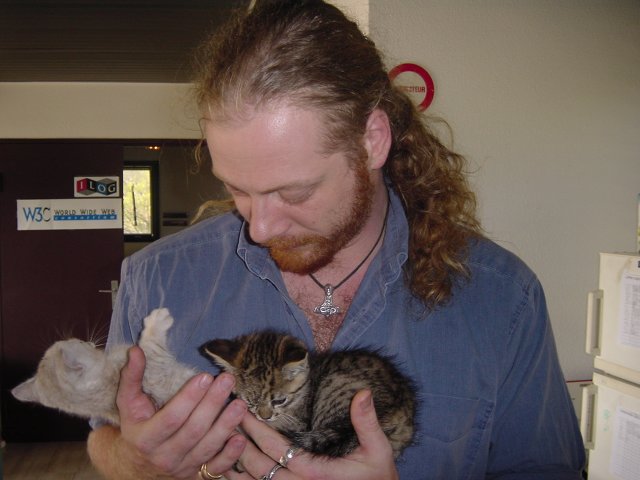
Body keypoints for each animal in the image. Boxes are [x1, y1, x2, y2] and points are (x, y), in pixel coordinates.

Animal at [202, 330, 418, 458]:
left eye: (279, 400)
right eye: (250, 401)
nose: (264, 417)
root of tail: (401, 410)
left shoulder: (300, 422)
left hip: (335, 387)